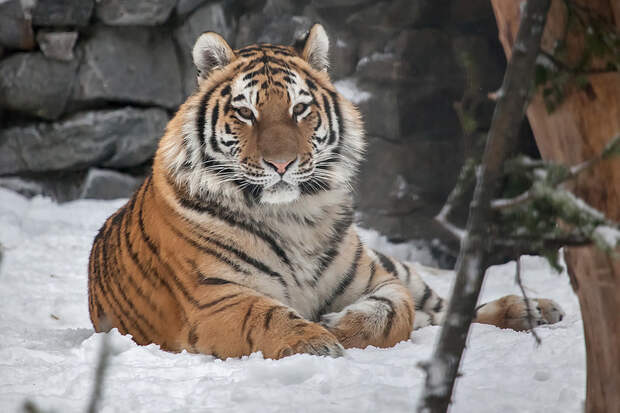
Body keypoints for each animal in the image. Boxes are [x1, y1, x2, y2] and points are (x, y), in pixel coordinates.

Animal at [88, 23, 568, 358]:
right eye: (245, 113)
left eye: (300, 109)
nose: (281, 164)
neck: (293, 218)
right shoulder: (212, 297)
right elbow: (265, 314)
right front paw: (314, 341)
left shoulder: (380, 279)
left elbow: (393, 311)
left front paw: (337, 328)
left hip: (395, 264)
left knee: (447, 306)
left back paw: (536, 309)